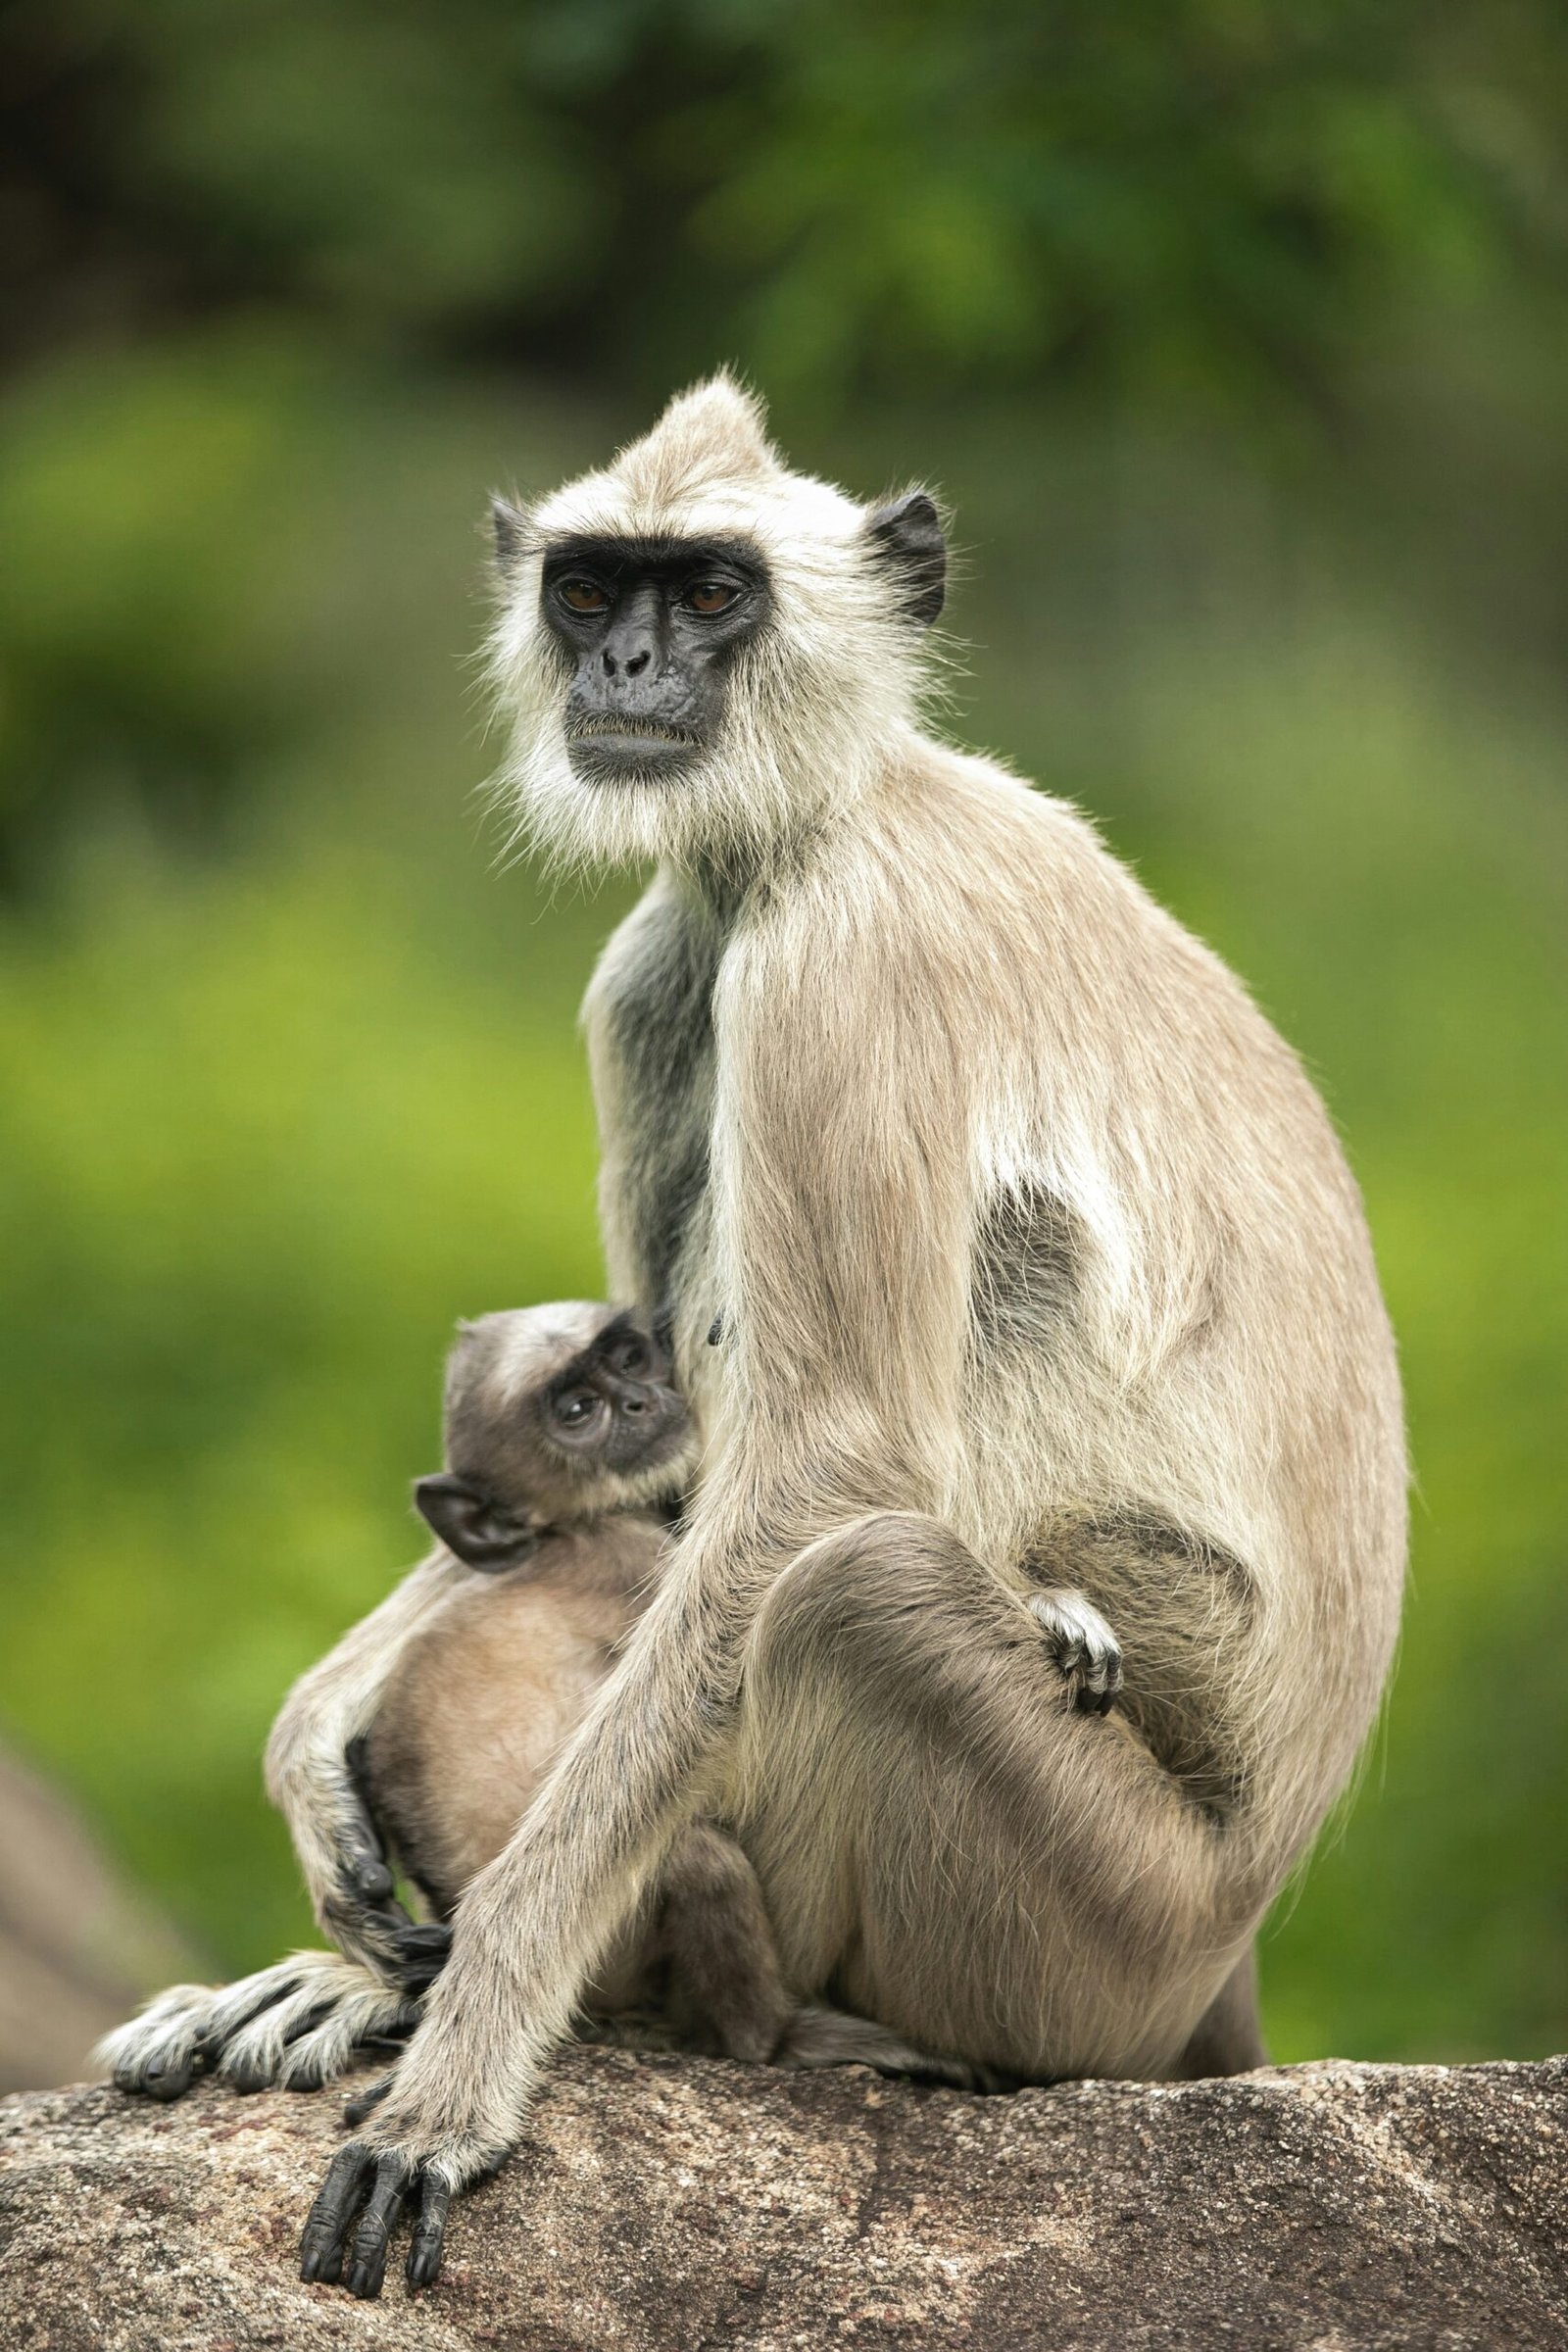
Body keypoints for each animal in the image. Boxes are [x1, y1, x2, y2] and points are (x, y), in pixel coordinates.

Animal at [297, 380, 1410, 2295]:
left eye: (711, 593)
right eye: (591, 591)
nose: (633, 663)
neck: (825, 814)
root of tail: (1239, 1922)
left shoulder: (843, 959)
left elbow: (824, 1474)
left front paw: (461, 2067)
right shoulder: (661, 962)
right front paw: (324, 1744)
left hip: (1106, 1932)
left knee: (861, 1585)